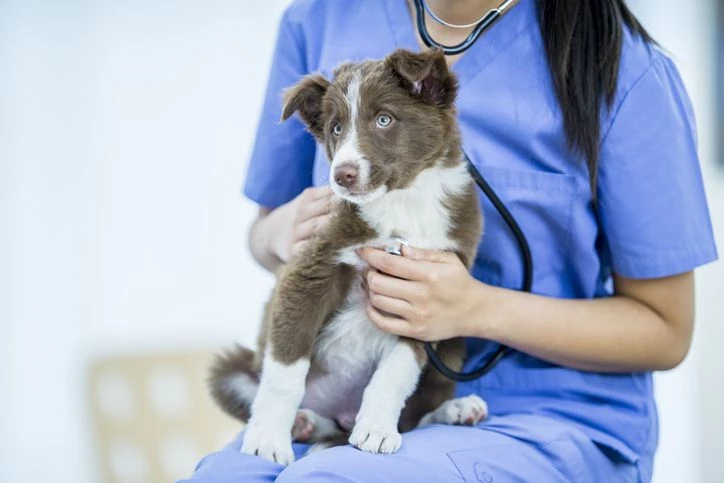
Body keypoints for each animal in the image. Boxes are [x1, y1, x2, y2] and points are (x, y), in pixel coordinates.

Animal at [212, 48, 490, 466]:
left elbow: (396, 371)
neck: (404, 201)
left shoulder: (424, 295)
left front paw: (376, 429)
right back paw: (302, 423)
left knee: (419, 412)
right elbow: (284, 373)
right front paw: (267, 440)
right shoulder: (311, 271)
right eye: (336, 128)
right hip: (232, 371)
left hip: (455, 339)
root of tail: (339, 415)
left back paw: (456, 409)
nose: (341, 174)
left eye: (384, 119)